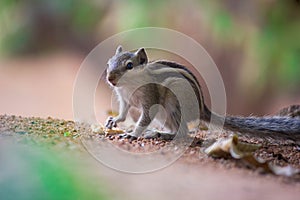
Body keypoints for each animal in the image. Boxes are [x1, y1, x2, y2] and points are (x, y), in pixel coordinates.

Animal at [103, 45, 300, 142]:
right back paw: (159, 132)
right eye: (109, 62)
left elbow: (144, 118)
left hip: (174, 102)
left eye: (129, 66)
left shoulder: (150, 98)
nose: (110, 78)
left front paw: (132, 134)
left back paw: (161, 135)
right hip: (165, 115)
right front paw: (115, 120)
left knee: (183, 133)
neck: (128, 87)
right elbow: (124, 111)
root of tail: (202, 110)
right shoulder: (125, 99)